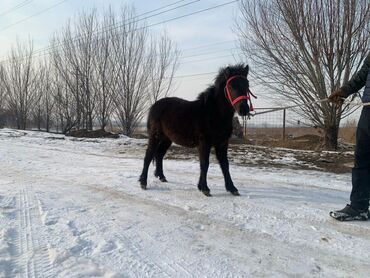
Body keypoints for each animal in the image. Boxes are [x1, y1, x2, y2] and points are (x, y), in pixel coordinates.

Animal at [140, 64, 253, 197]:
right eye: (231, 86)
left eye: (247, 85)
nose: (244, 109)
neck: (214, 113)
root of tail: (154, 106)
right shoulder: (204, 143)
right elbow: (205, 164)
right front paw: (205, 188)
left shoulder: (222, 143)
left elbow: (225, 165)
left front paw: (232, 188)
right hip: (155, 136)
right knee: (148, 156)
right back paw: (143, 182)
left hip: (167, 139)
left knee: (159, 155)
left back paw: (161, 176)